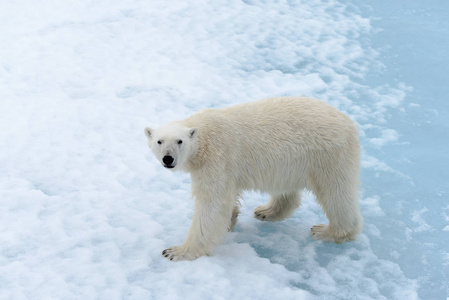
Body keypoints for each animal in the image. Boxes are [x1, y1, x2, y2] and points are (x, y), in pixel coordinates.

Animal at [145, 97, 362, 262]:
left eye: (179, 141)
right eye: (159, 141)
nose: (168, 159)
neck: (204, 136)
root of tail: (349, 123)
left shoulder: (217, 159)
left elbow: (212, 204)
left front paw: (175, 251)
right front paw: (231, 221)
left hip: (328, 156)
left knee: (336, 193)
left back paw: (328, 231)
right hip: (293, 162)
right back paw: (267, 211)